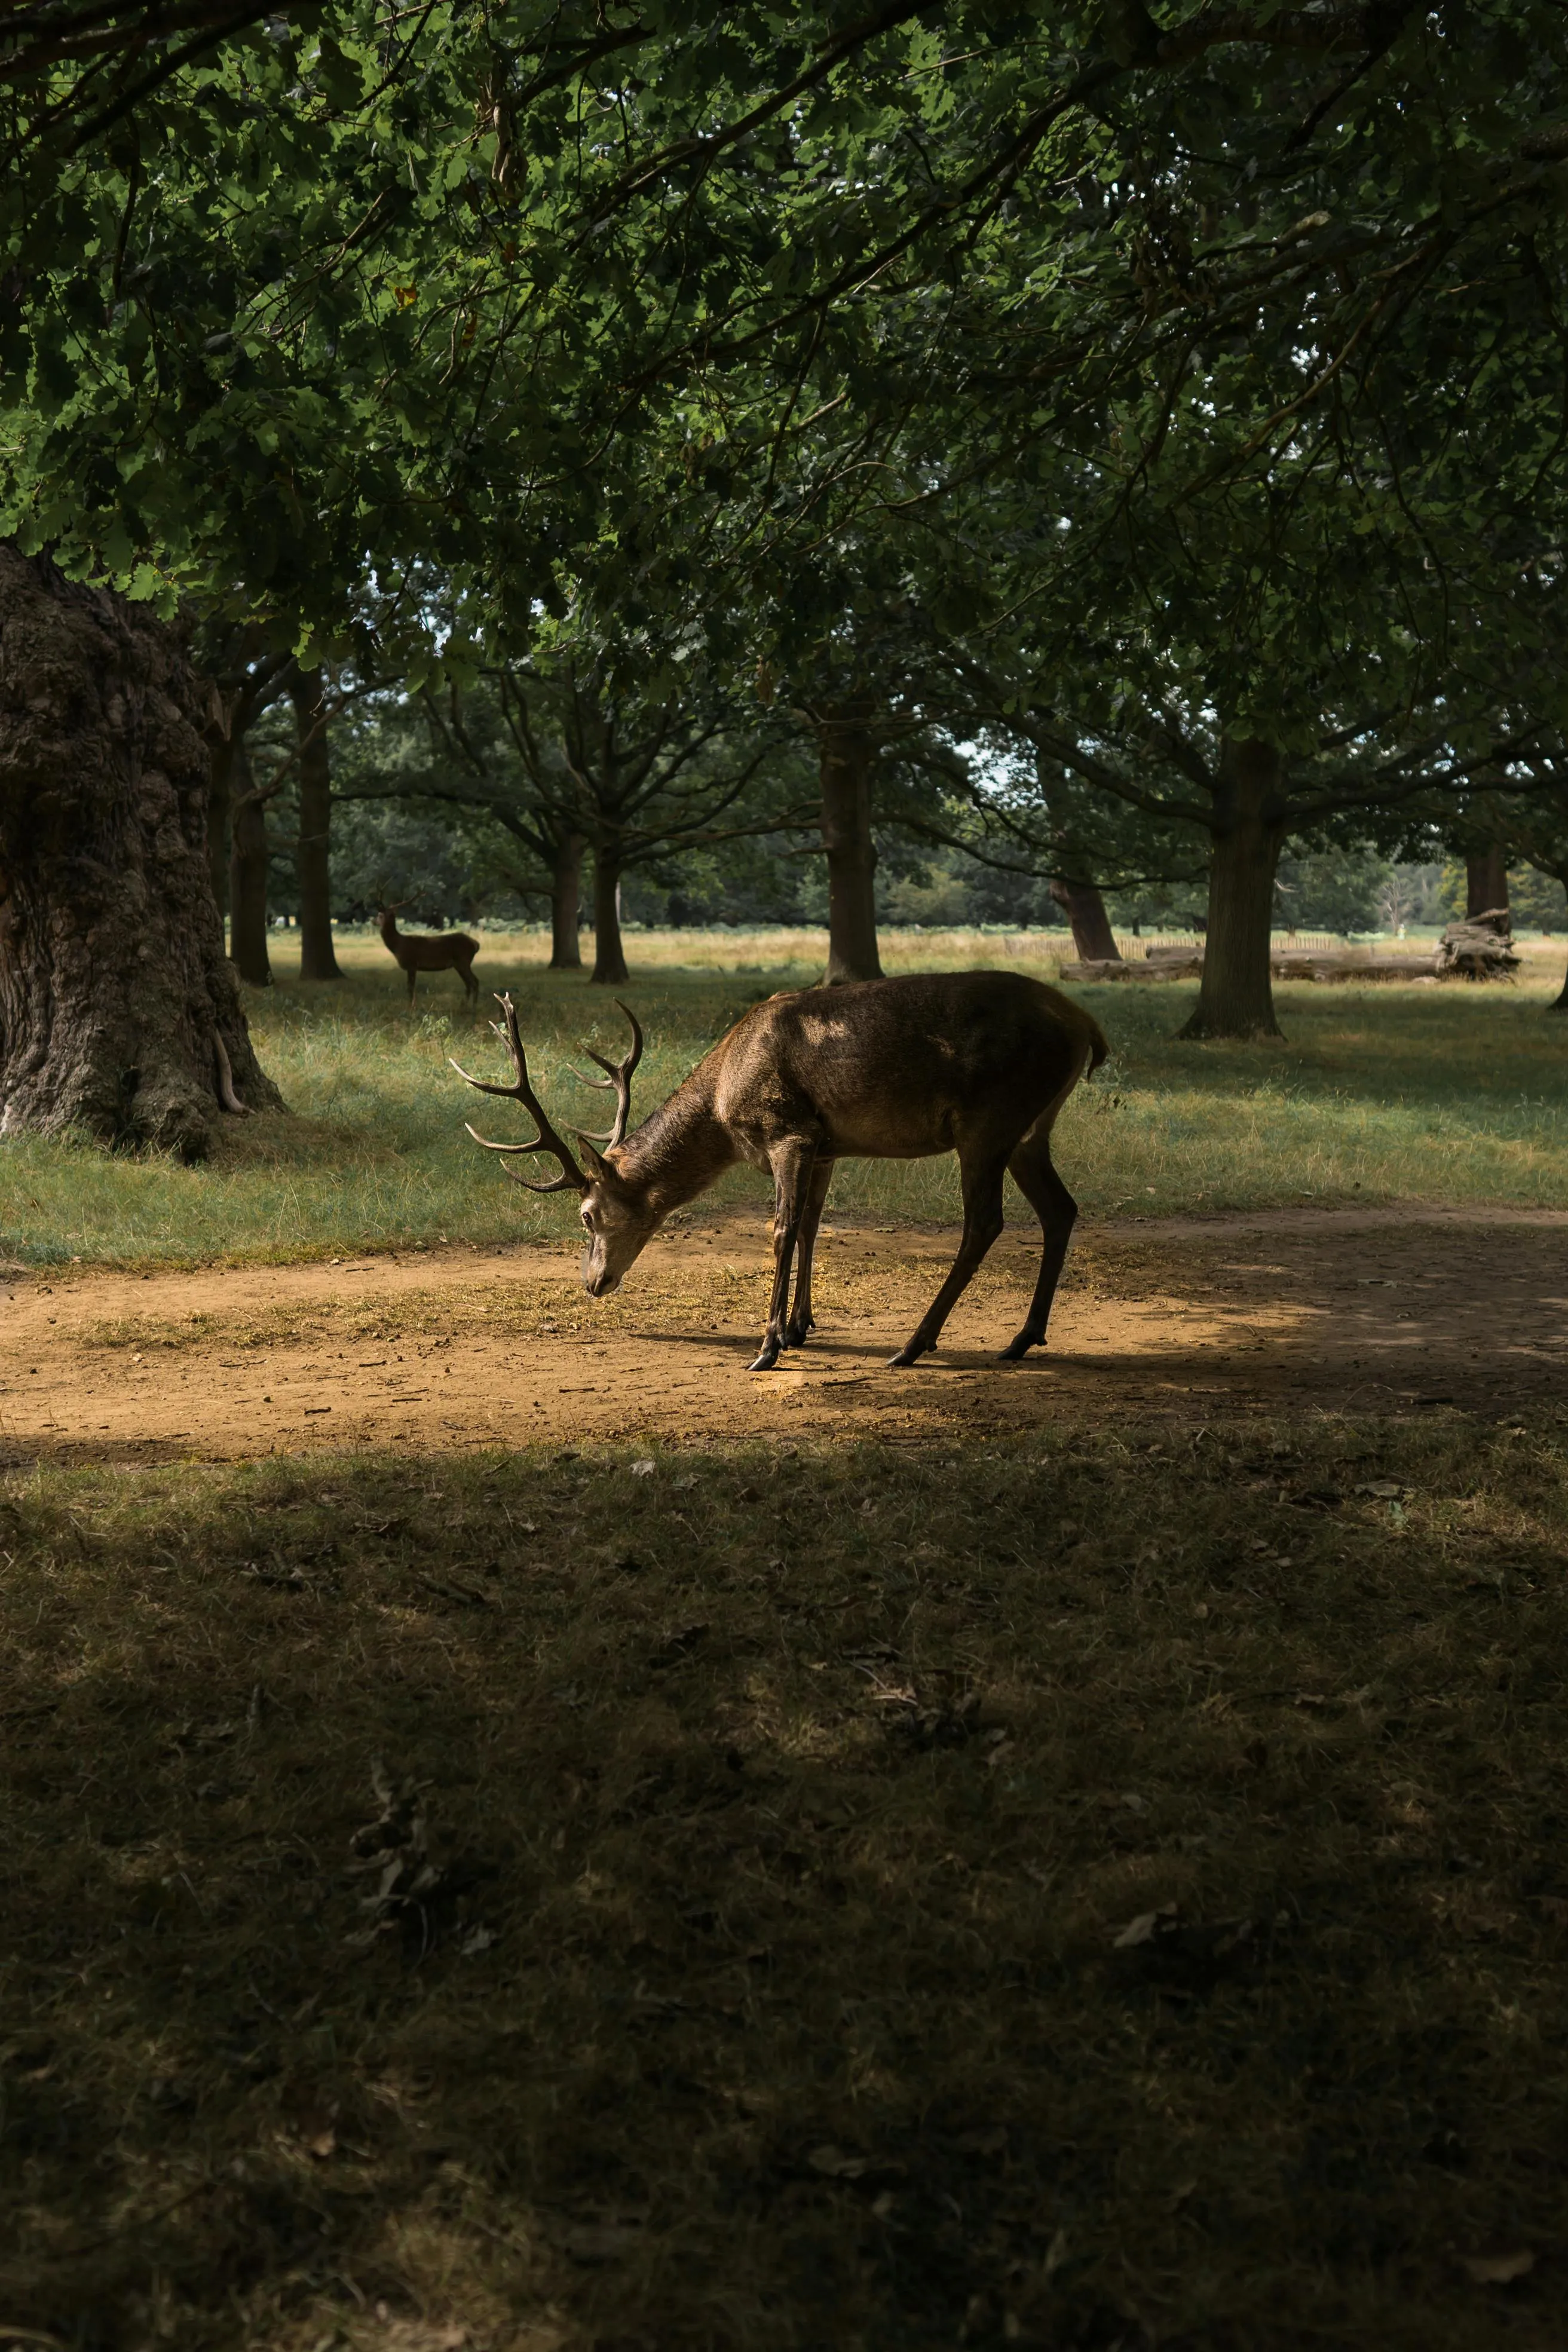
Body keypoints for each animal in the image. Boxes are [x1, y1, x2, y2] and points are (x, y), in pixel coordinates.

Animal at [378, 906, 481, 1005]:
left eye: (381, 915)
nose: (376, 922)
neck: (397, 946)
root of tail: (476, 944)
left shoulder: (412, 964)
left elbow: (410, 988)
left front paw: (411, 1007)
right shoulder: (412, 967)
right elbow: (411, 987)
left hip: (463, 961)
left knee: (474, 981)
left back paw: (474, 1006)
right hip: (460, 964)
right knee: (469, 983)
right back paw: (465, 1005)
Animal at [452, 971, 1108, 1371]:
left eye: (587, 1216)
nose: (592, 1284)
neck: (723, 1102)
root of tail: (1086, 1025)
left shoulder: (786, 1131)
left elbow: (781, 1231)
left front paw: (767, 1345)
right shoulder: (826, 1146)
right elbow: (814, 1225)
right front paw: (799, 1326)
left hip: (989, 1119)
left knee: (985, 1222)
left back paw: (914, 1344)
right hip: (1030, 1130)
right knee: (1061, 1208)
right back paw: (1022, 1337)